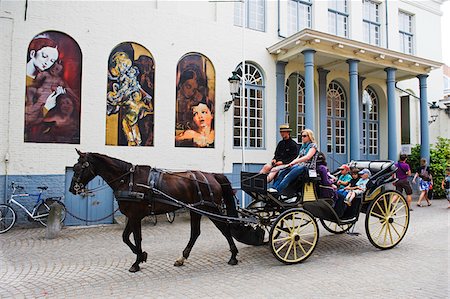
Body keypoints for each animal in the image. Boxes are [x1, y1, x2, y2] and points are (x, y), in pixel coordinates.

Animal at [69, 151, 239, 274]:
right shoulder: (132, 216)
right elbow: (125, 237)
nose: (72, 189)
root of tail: (212, 175)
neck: (128, 180)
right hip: (196, 209)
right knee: (195, 233)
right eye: (74, 167)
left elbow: (136, 238)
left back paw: (233, 256)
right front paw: (142, 256)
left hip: (210, 209)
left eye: (80, 167)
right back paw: (182, 258)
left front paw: (136, 262)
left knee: (224, 228)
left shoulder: (135, 216)